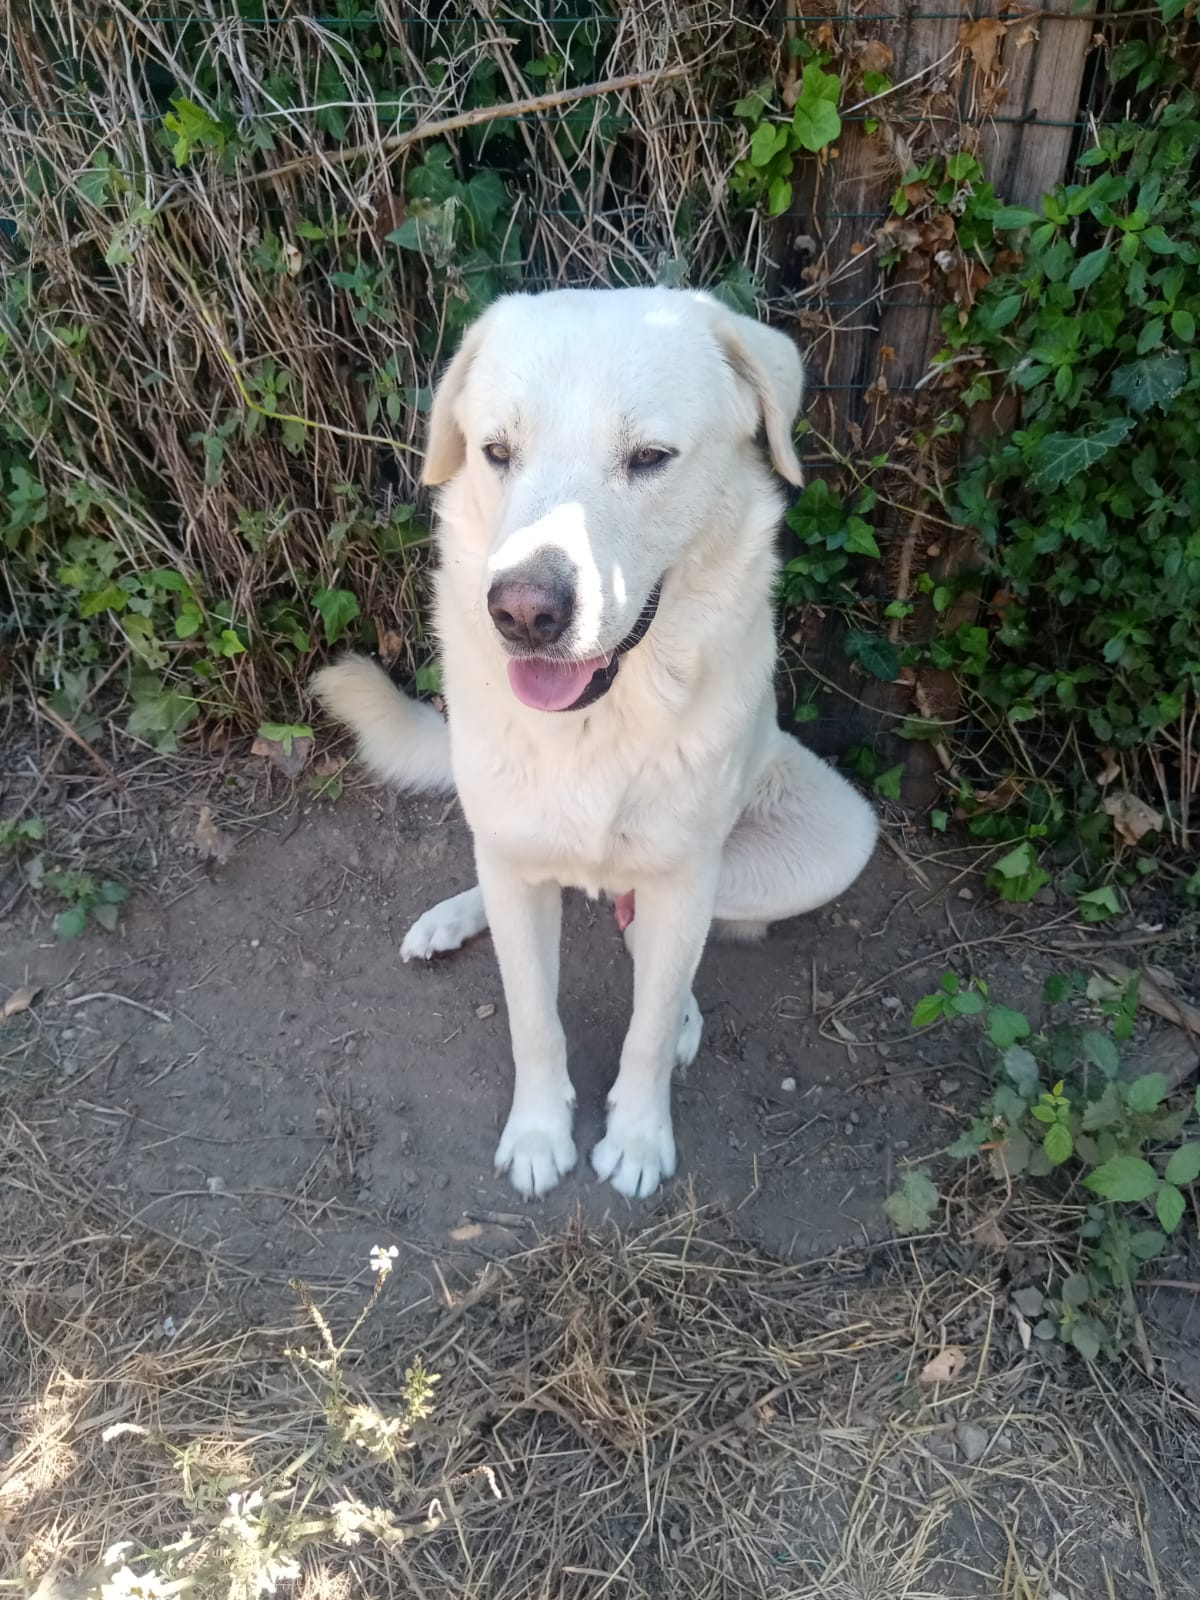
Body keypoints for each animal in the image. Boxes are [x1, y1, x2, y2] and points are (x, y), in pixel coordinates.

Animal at [313, 287, 877, 1201]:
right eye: (497, 452)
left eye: (649, 458)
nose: (523, 613)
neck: (595, 722)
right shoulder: (514, 863)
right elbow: (532, 1018)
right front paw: (540, 1134)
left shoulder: (684, 874)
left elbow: (645, 1026)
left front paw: (639, 1140)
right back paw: (452, 918)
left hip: (825, 841)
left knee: (654, 937)